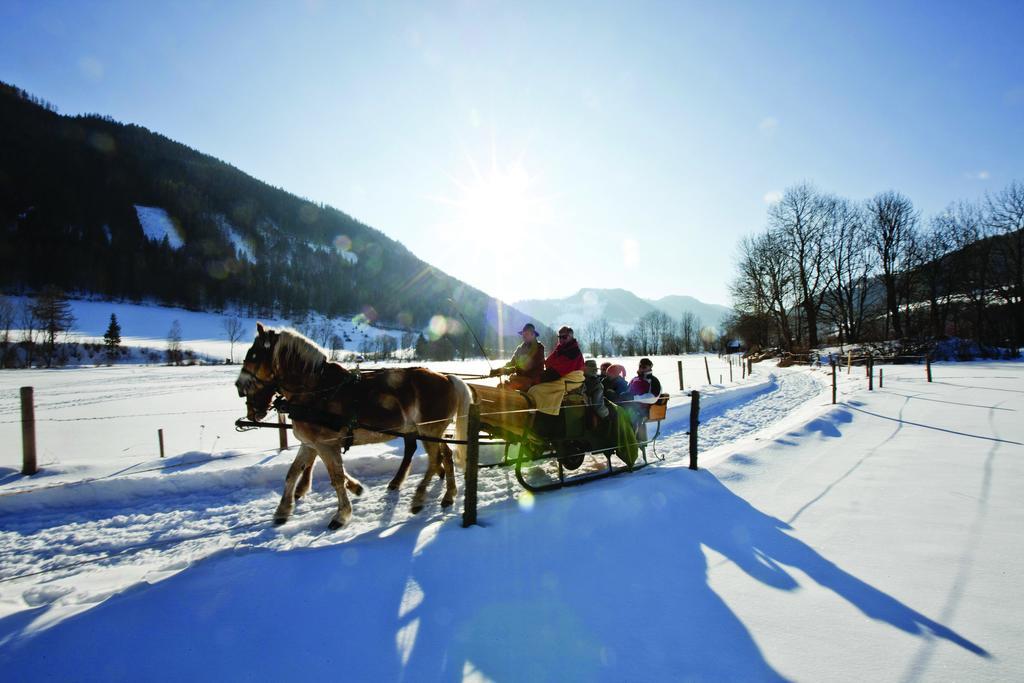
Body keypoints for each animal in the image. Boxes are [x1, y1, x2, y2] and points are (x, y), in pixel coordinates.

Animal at [235, 325, 471, 528]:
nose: (239, 387)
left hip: (429, 429)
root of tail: (447, 378)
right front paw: (283, 511)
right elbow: (292, 473)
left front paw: (341, 515)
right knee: (445, 456)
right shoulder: (310, 444)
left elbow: (336, 478)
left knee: (435, 459)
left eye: (254, 354)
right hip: (430, 431)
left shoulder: (326, 444)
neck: (316, 391)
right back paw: (448, 494)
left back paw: (420, 499)